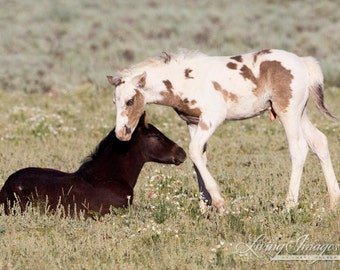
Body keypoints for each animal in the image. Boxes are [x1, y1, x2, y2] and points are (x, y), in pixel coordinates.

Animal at [107, 48, 338, 213]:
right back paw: (334, 201)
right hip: (301, 113)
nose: (121, 133)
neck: (186, 80)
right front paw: (204, 208)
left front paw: (218, 202)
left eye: (130, 100)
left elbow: (193, 151)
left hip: (288, 112)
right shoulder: (193, 123)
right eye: (114, 101)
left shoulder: (212, 118)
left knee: (299, 149)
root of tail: (303, 62)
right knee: (319, 141)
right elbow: (198, 157)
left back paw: (289, 204)